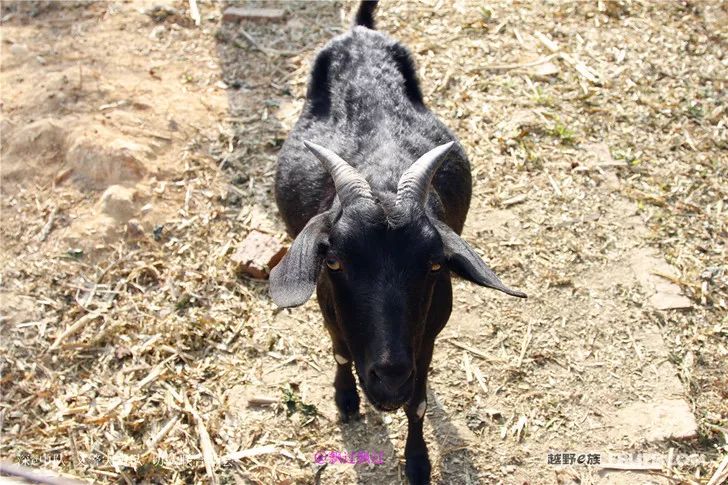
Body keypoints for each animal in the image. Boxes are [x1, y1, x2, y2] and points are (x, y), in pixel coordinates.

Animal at [270, 2, 528, 480]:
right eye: (333, 261)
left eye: (435, 264)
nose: (389, 379)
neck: (381, 179)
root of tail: (361, 32)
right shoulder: (330, 310)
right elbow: (340, 352)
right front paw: (346, 399)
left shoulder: (427, 337)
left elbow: (419, 404)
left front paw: (418, 463)